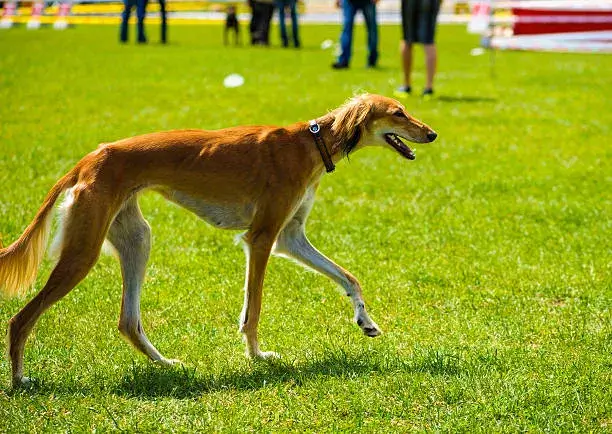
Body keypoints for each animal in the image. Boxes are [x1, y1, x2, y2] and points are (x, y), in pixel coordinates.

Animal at [2, 94, 438, 386]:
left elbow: (348, 277)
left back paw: (165, 364)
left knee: (128, 321)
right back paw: (21, 380)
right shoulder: (262, 237)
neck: (310, 143)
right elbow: (254, 309)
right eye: (398, 113)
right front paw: (257, 356)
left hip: (136, 239)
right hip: (83, 252)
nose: (432, 133)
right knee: (20, 318)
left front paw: (365, 321)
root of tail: (89, 160)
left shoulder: (290, 238)